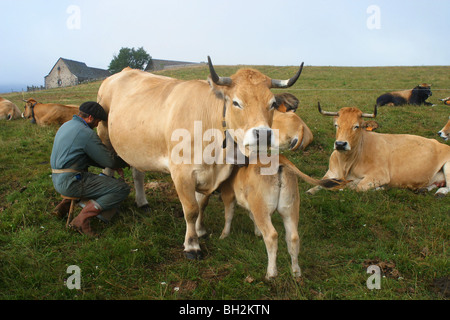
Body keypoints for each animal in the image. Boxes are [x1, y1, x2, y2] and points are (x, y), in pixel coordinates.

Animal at [96, 56, 304, 258]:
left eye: (273, 104)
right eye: (236, 102)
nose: (263, 134)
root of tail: (123, 71)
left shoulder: (206, 174)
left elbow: (201, 204)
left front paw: (200, 230)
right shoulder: (182, 173)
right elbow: (191, 209)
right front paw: (192, 245)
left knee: (137, 173)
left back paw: (142, 203)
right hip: (104, 136)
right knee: (107, 170)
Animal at [306, 104, 450, 198]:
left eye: (356, 126)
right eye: (337, 125)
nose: (340, 144)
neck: (345, 164)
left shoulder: (379, 175)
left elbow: (356, 187)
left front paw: (379, 188)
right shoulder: (331, 172)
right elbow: (319, 183)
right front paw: (311, 190)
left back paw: (440, 192)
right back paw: (423, 189)